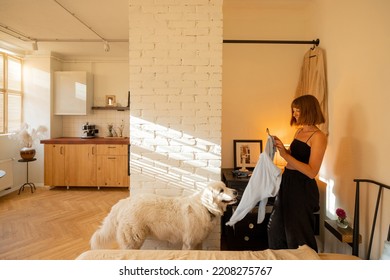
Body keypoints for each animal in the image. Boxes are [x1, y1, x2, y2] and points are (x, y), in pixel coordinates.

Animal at [90, 182, 238, 249]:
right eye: (221, 190)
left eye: (226, 186)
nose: (236, 192)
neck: (205, 207)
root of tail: (125, 201)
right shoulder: (189, 243)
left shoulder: (198, 242)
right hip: (133, 239)